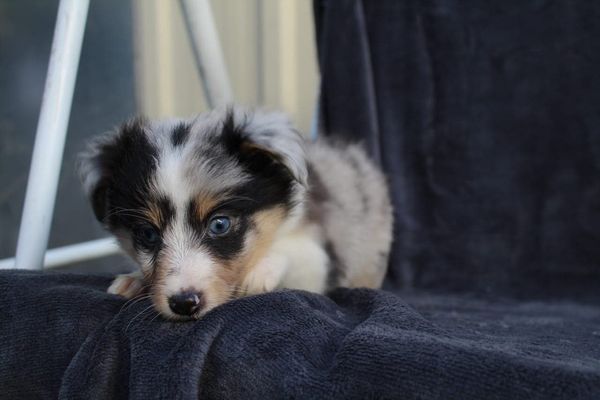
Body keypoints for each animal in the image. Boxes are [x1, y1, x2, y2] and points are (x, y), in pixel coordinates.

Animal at [78, 106, 394, 318]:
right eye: (147, 234)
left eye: (219, 225)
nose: (184, 304)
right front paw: (135, 278)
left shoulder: (317, 263)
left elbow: (295, 253)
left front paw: (258, 272)